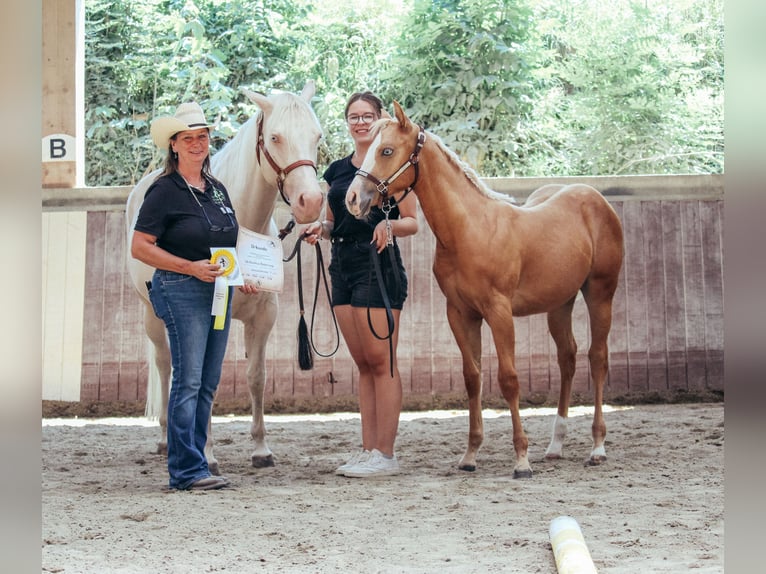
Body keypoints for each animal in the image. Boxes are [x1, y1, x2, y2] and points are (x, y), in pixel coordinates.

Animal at [125, 81, 324, 473]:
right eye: (275, 137)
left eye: (316, 136)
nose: (310, 202)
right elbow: (202, 381)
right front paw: (208, 454)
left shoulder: (263, 318)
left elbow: (256, 378)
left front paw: (261, 450)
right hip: (152, 316)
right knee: (165, 366)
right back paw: (165, 439)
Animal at [345, 101, 624, 478]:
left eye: (386, 151)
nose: (353, 199)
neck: (469, 230)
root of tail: (594, 198)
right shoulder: (461, 314)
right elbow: (472, 378)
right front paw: (470, 455)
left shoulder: (498, 312)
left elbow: (508, 379)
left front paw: (521, 460)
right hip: (559, 303)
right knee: (567, 357)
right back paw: (555, 446)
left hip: (600, 293)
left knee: (598, 358)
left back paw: (597, 447)